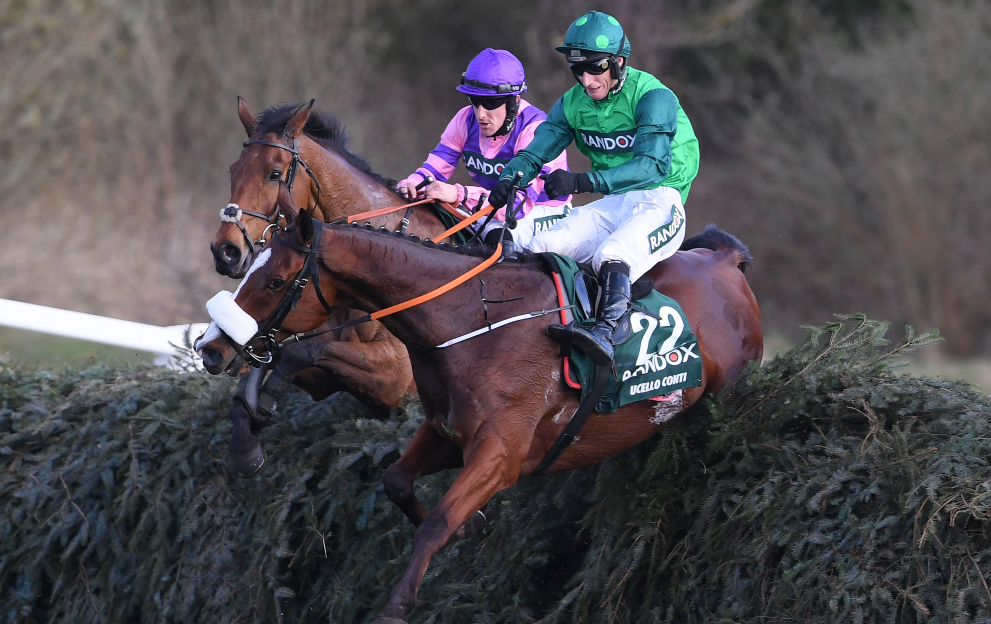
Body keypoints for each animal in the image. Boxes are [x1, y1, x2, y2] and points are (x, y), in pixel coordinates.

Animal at [196, 211, 768, 624]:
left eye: (275, 281)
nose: (211, 349)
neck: (475, 321)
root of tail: (726, 260)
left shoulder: (500, 454)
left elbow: (437, 524)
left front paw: (396, 608)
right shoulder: (445, 432)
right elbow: (396, 481)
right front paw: (467, 528)